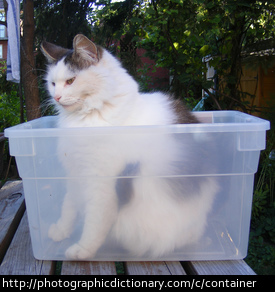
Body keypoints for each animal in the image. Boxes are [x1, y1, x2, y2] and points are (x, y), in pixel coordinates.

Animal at [41, 34, 219, 260]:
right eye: (53, 83)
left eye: (71, 81)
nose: (56, 97)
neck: (89, 117)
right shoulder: (75, 172)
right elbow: (68, 206)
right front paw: (61, 230)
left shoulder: (101, 184)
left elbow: (94, 223)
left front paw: (82, 250)